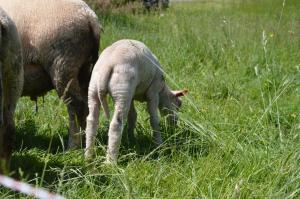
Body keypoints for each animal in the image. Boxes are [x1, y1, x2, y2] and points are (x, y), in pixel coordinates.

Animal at [0, 0, 102, 148]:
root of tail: (89, 16)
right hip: (85, 69)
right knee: (87, 107)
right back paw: (85, 141)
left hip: (63, 64)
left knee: (76, 107)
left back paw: (73, 146)